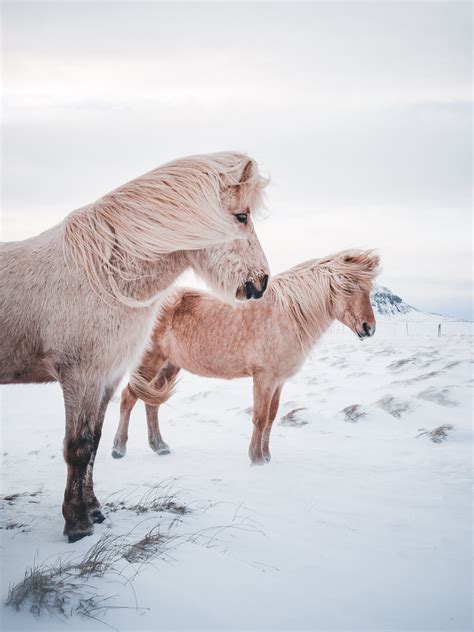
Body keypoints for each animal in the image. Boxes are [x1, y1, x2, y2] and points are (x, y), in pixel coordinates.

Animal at [0, 152, 270, 540]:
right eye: (242, 216)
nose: (262, 282)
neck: (102, 277)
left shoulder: (107, 377)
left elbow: (95, 441)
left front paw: (94, 510)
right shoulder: (80, 377)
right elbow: (78, 447)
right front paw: (77, 524)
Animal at [113, 251, 380, 464]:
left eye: (369, 289)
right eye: (348, 288)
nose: (369, 329)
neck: (286, 314)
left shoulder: (278, 381)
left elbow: (271, 417)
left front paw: (267, 455)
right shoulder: (263, 378)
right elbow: (260, 418)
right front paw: (257, 459)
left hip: (169, 366)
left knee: (151, 404)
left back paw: (160, 447)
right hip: (150, 362)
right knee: (128, 397)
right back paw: (119, 449)